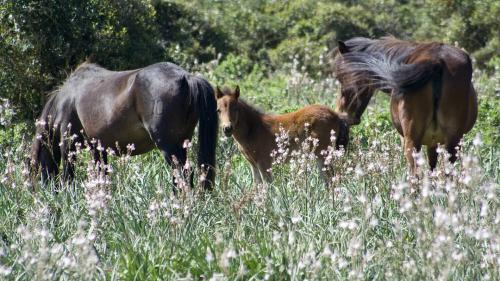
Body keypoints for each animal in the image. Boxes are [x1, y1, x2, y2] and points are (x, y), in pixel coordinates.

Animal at [31, 60, 218, 189]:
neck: (64, 100)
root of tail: (186, 77)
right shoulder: (97, 148)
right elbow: (101, 175)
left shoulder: (68, 144)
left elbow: (68, 175)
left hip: (169, 146)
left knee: (182, 174)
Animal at [332, 36, 476, 174]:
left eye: (340, 77)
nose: (341, 113)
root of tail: (437, 61)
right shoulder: (433, 143)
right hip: (452, 143)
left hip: (412, 142)